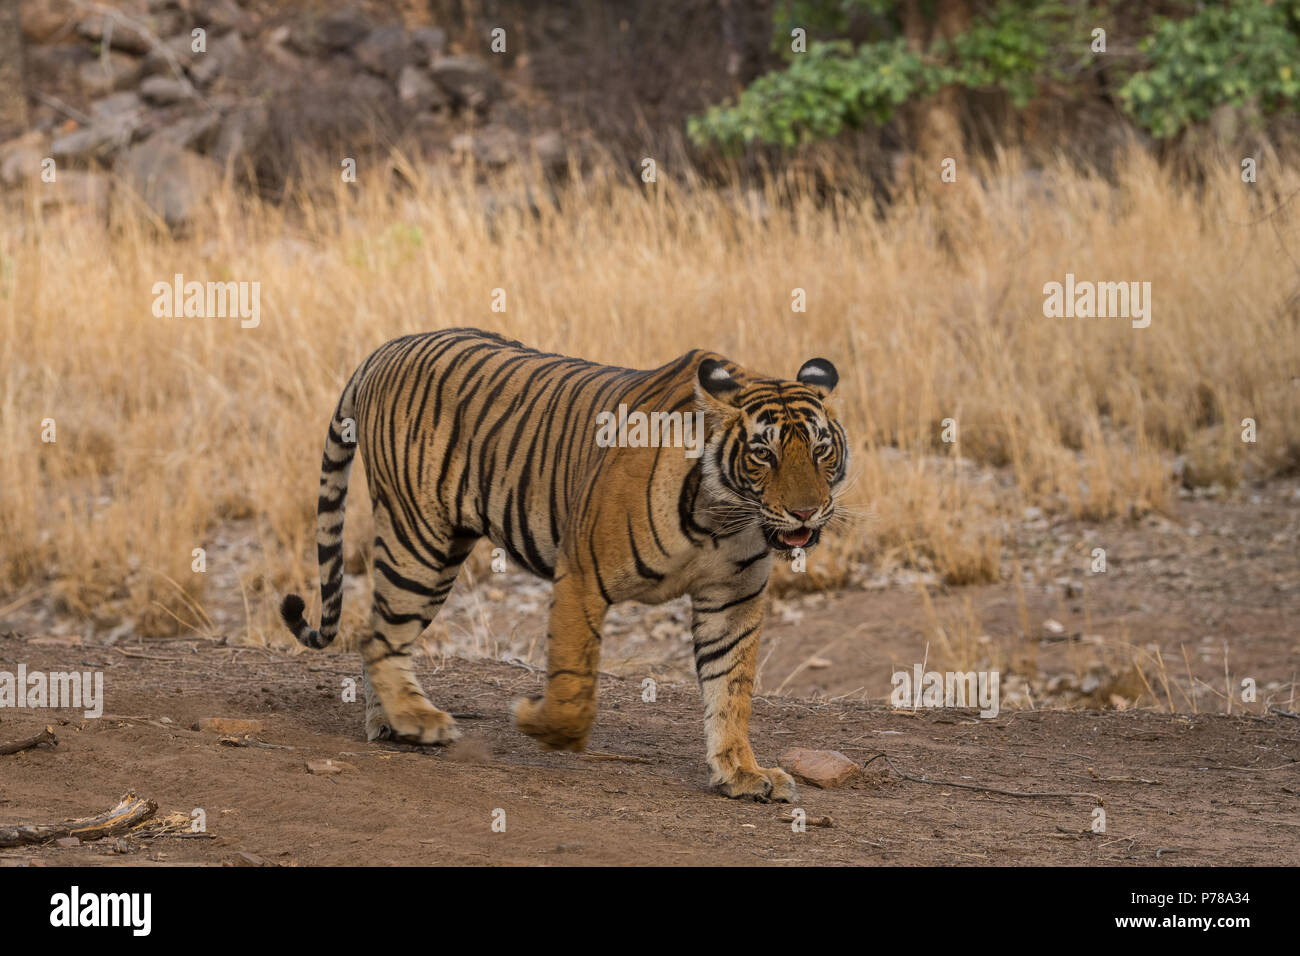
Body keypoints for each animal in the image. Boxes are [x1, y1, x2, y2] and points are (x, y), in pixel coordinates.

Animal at [280, 327, 848, 802]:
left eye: (821, 451)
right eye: (763, 454)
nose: (805, 511)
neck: (723, 515)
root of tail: (387, 347)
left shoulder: (733, 598)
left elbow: (731, 688)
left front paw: (741, 773)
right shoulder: (582, 573)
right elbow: (574, 690)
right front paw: (534, 721)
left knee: (379, 633)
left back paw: (391, 726)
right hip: (420, 539)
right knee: (380, 636)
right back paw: (417, 721)